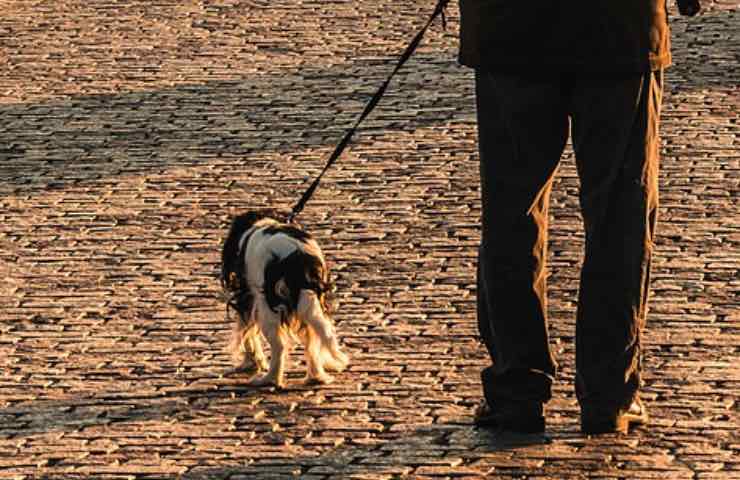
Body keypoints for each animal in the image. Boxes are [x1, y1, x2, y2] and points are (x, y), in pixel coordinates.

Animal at [220, 212, 350, 388]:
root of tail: (299, 258)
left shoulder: (247, 296)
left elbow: (246, 332)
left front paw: (251, 362)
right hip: (311, 302)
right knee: (314, 338)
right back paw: (316, 377)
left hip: (269, 306)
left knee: (279, 346)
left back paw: (269, 379)